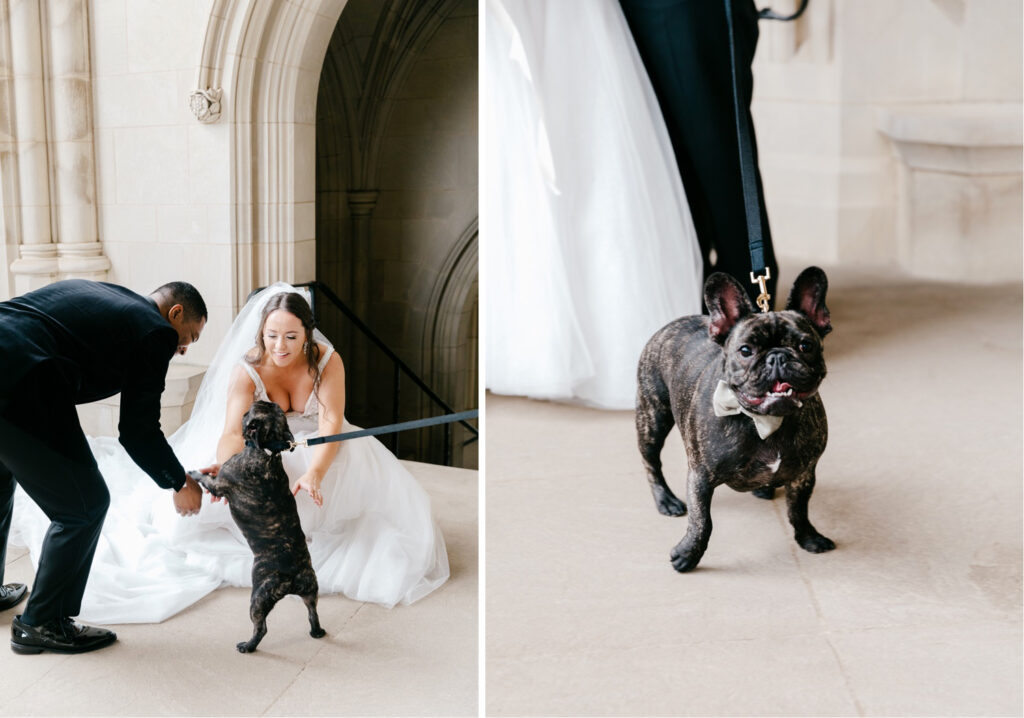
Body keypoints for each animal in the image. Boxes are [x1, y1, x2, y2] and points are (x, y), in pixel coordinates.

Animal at [188, 401, 323, 651]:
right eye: (273, 407)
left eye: (249, 413)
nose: (263, 400)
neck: (268, 450)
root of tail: (292, 577)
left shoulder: (219, 482)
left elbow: (206, 479)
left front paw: (194, 472)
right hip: (311, 589)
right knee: (312, 612)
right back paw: (316, 631)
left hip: (258, 598)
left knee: (261, 627)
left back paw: (247, 646)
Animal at [634, 266, 835, 573]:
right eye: (745, 351)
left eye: (805, 345)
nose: (777, 357)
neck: (767, 422)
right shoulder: (700, 478)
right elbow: (702, 522)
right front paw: (688, 554)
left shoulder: (804, 473)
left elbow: (799, 510)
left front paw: (809, 537)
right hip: (652, 418)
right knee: (651, 463)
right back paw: (666, 501)